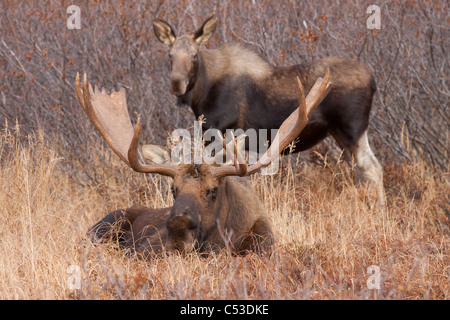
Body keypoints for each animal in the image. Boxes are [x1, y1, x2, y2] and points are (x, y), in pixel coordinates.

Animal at [153, 13, 384, 204]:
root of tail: (373, 79)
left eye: (194, 55)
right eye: (170, 55)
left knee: (373, 168)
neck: (204, 91)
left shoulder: (223, 135)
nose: (176, 83)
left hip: (352, 130)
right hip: (339, 134)